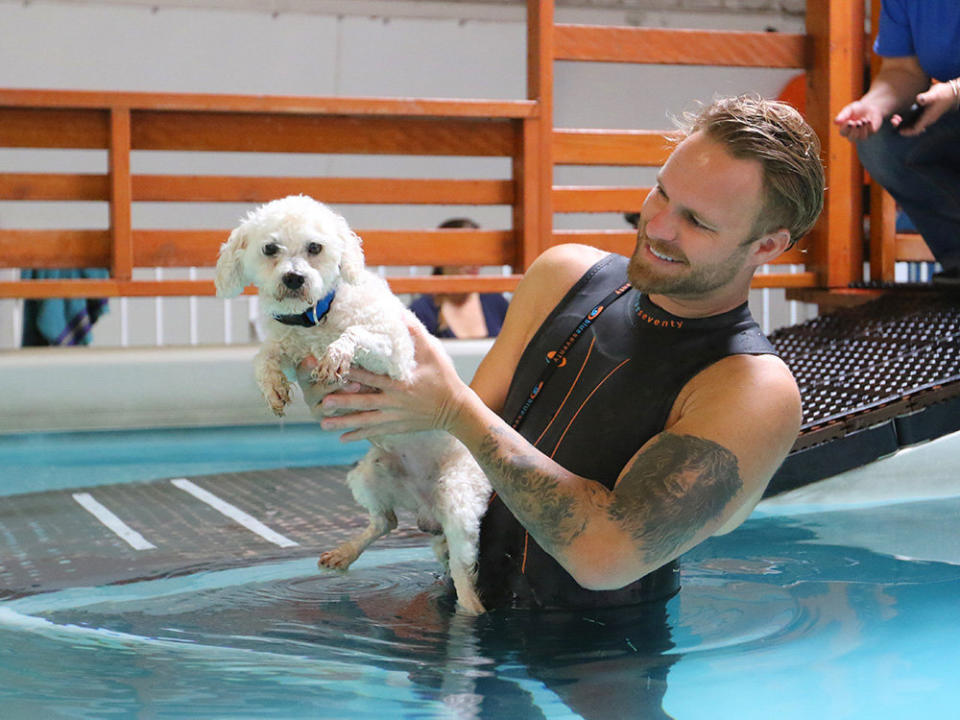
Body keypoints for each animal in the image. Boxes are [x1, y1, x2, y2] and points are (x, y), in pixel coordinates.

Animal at [216, 195, 488, 612]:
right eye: (270, 249)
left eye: (315, 248)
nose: (294, 278)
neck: (318, 317)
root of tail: (427, 510)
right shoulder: (290, 347)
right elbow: (265, 355)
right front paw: (272, 386)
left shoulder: (398, 355)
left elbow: (356, 334)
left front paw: (337, 353)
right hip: (370, 474)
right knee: (385, 521)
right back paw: (346, 552)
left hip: (458, 498)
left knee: (462, 567)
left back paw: (470, 607)